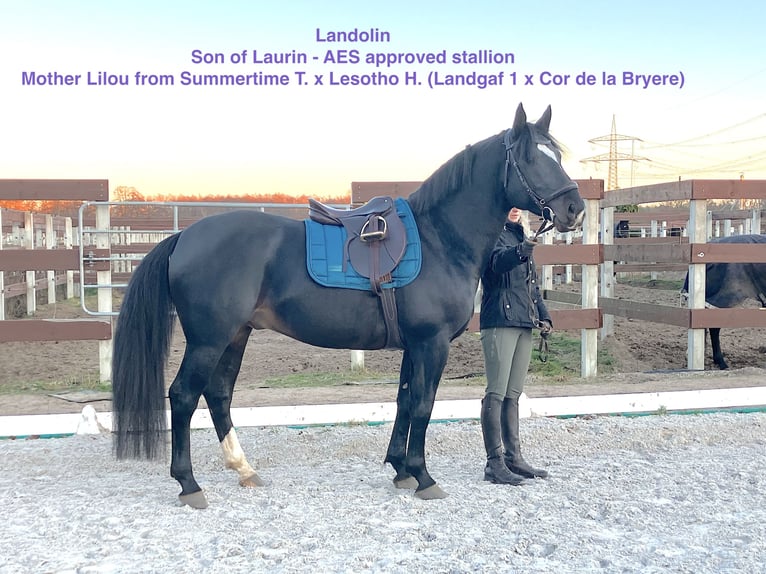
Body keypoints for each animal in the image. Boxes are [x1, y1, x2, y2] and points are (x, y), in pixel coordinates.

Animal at [111, 103, 585, 508]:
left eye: (556, 156)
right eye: (531, 158)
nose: (574, 209)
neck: (439, 238)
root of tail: (183, 237)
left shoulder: (414, 346)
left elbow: (404, 401)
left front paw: (400, 469)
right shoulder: (432, 344)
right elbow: (424, 405)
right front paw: (423, 476)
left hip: (235, 336)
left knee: (218, 395)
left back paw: (244, 469)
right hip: (209, 339)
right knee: (183, 396)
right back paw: (189, 484)